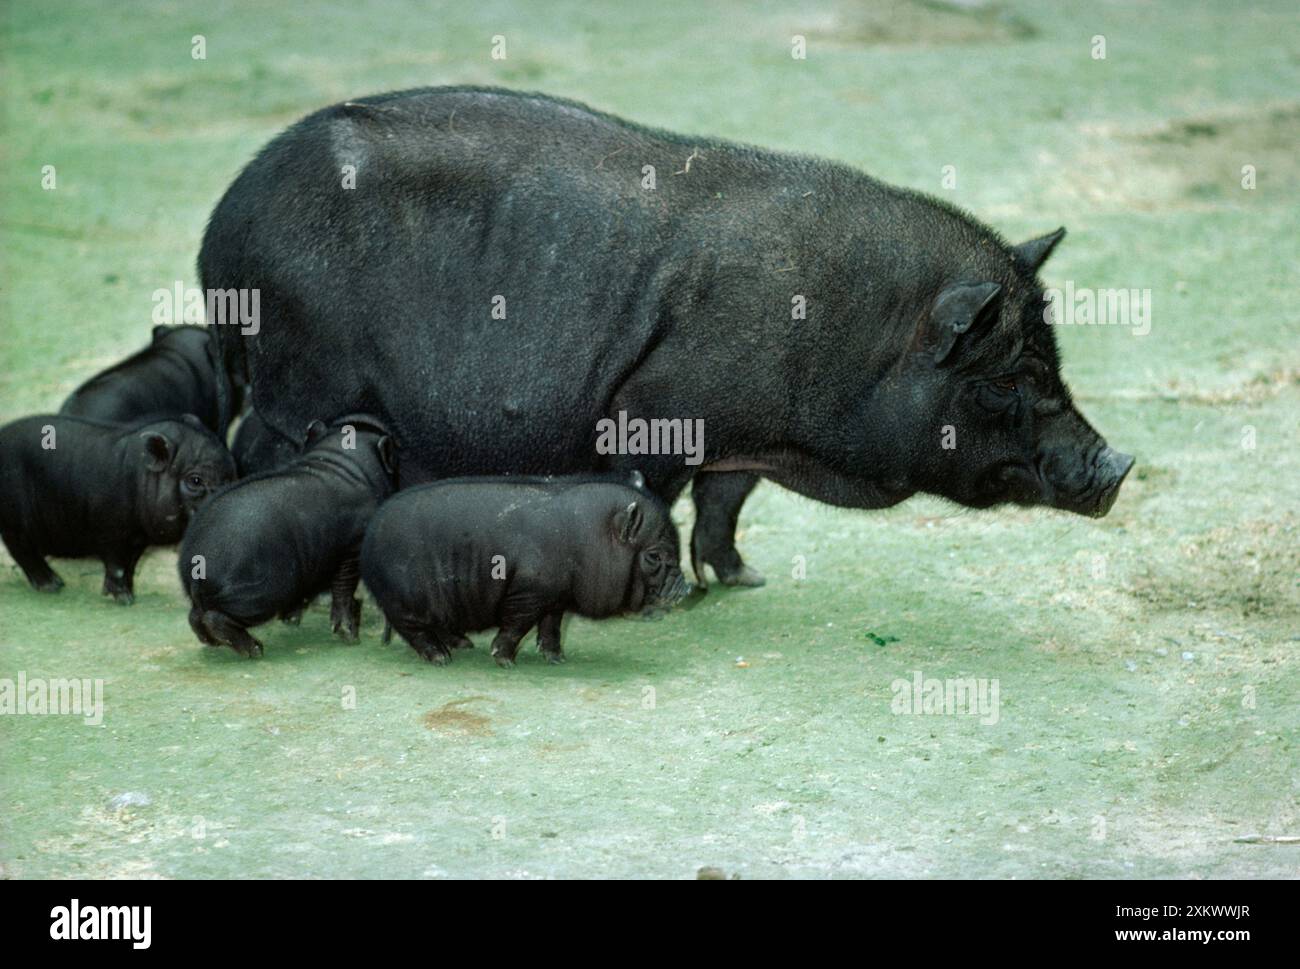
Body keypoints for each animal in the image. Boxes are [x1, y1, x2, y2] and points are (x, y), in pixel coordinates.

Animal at [0, 411, 237, 600]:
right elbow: (117, 565)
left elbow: (130, 564)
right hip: (13, 518)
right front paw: (124, 600)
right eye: (196, 480)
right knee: (20, 548)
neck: (137, 479)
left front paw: (126, 594)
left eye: (230, 474)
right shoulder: (109, 531)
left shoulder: (137, 538)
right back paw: (53, 586)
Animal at [179, 416, 395, 658]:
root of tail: (196, 567)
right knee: (213, 618)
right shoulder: (351, 547)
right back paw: (255, 650)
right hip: (259, 593)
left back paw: (214, 643)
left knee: (194, 617)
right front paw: (351, 638)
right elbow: (343, 587)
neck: (345, 464)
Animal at [197, 87, 1133, 590]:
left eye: (1055, 360)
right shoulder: (653, 407)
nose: (1121, 463)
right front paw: (679, 590)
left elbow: (726, 502)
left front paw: (745, 580)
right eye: (1004, 380)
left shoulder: (742, 437)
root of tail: (217, 237)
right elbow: (656, 500)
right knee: (259, 450)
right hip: (303, 376)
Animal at [364, 476, 691, 665]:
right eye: (654, 555)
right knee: (413, 630)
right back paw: (441, 658)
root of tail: (368, 540)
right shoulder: (528, 592)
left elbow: (551, 626)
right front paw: (504, 661)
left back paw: (464, 645)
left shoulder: (556, 597)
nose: (686, 587)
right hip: (404, 600)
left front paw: (558, 659)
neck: (588, 541)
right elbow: (517, 626)